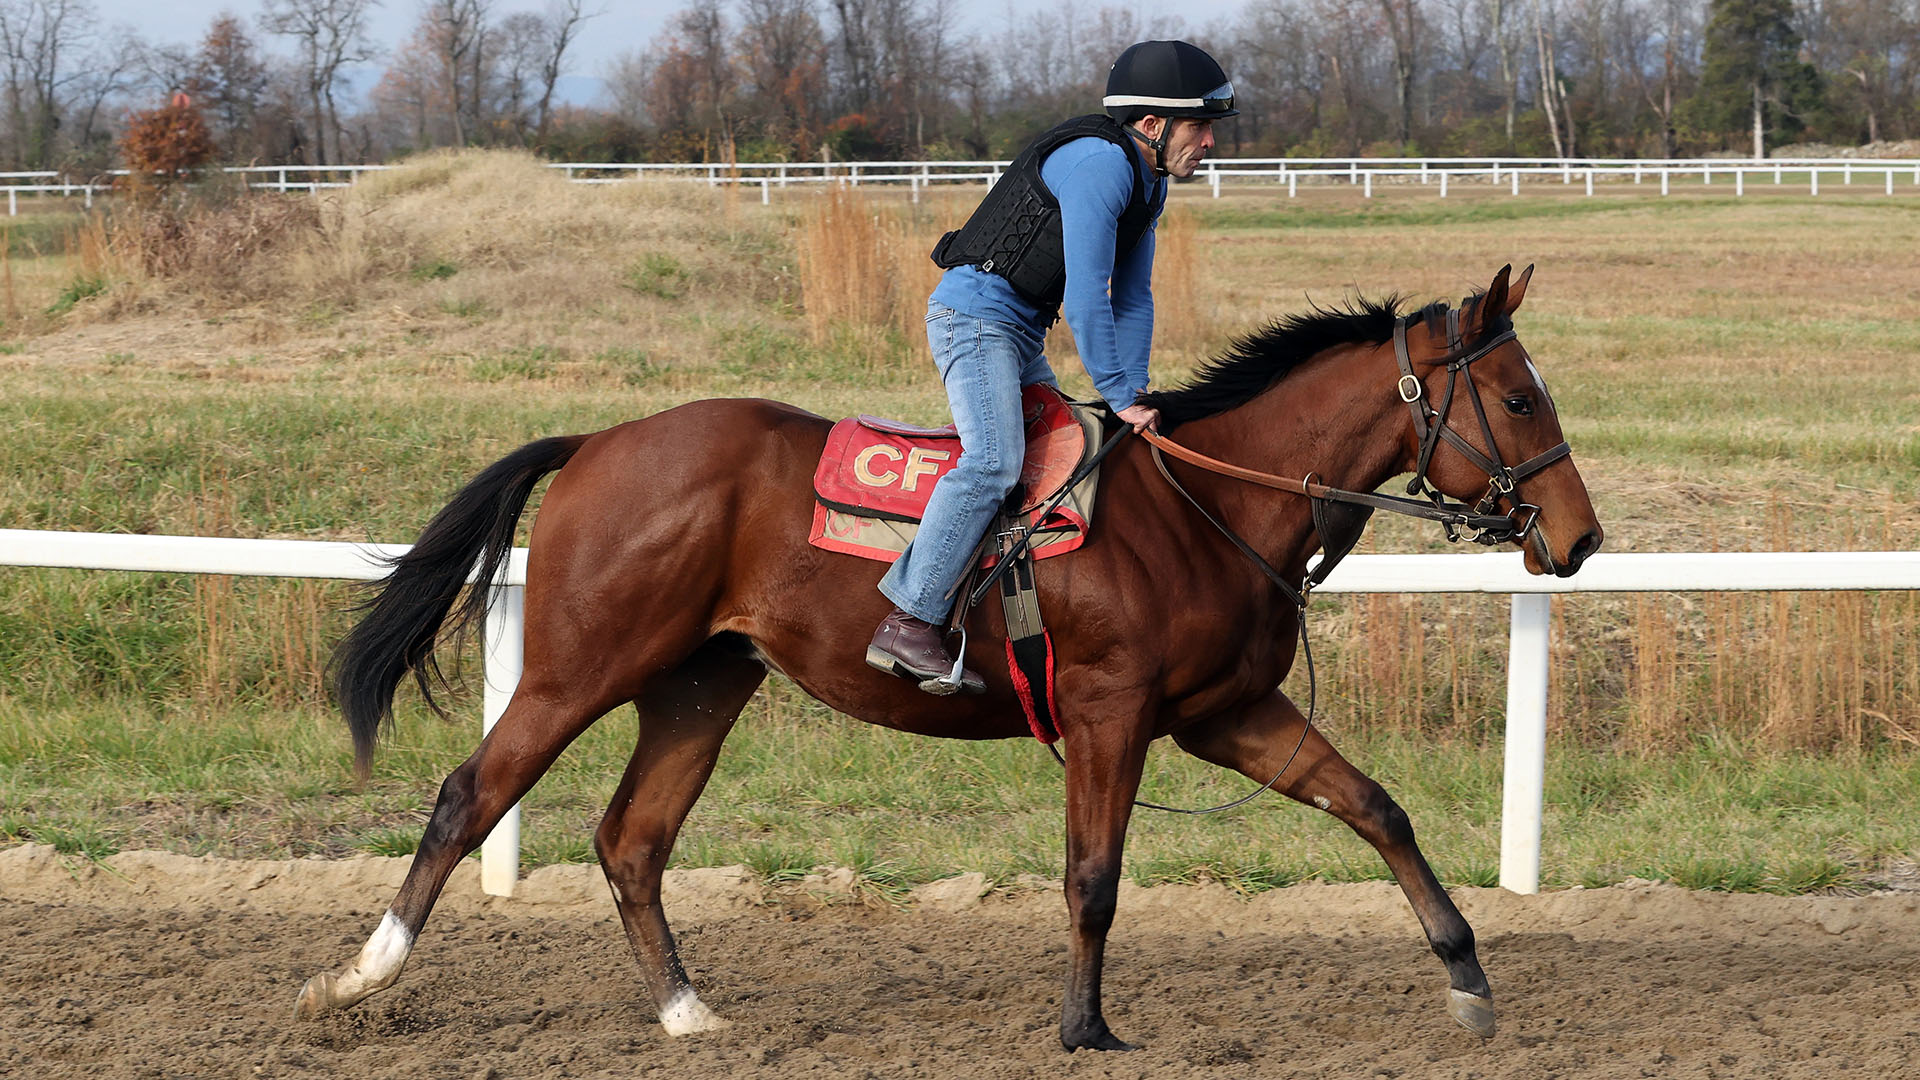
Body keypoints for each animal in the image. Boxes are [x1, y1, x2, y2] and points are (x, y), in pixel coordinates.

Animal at [288, 265, 1605, 1045]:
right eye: (1519, 400)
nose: (1582, 537)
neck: (1205, 505)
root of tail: (600, 441)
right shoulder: (1113, 712)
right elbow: (1093, 876)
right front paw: (1085, 1029)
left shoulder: (1227, 711)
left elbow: (1376, 808)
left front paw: (1467, 976)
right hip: (579, 666)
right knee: (471, 794)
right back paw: (357, 979)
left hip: (702, 681)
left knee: (632, 840)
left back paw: (685, 1011)